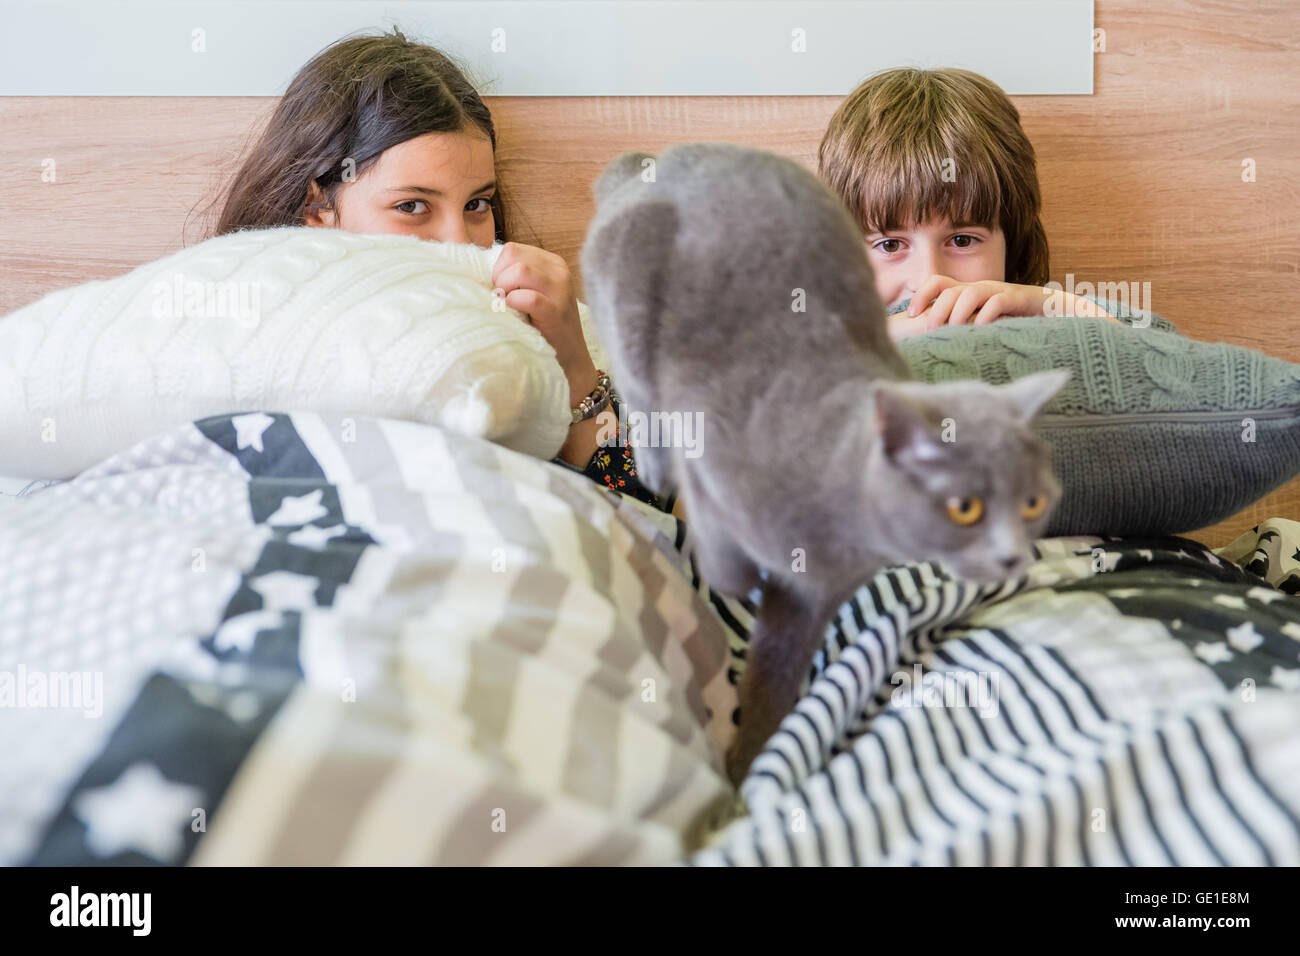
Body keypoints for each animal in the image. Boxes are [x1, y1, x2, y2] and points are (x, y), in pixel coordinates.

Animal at [579, 141, 1066, 785]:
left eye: (1033, 503)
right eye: (966, 507)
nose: (1013, 555)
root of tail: (649, 163)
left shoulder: (811, 599)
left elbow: (774, 678)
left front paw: (745, 768)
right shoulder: (712, 465)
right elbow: (720, 545)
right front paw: (733, 575)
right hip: (629, 287)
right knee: (640, 389)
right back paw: (655, 467)